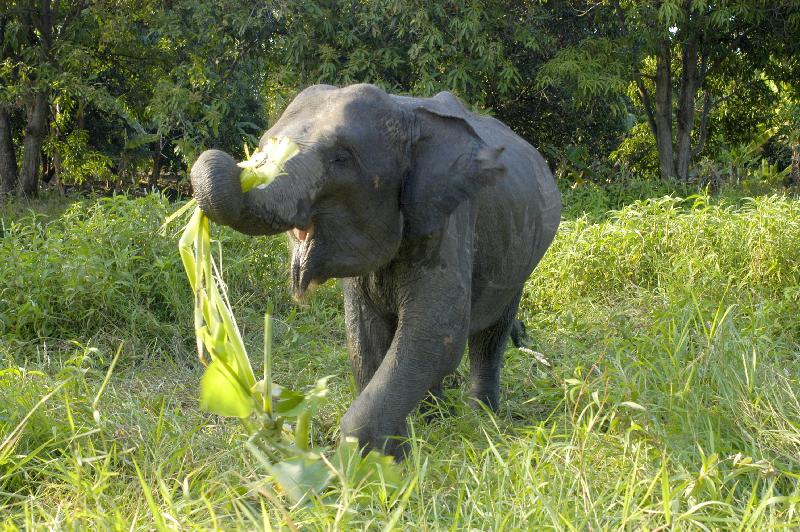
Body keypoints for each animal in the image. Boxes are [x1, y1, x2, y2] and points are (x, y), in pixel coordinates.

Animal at [190, 83, 561, 459]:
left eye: (342, 158)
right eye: (266, 142)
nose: (241, 164)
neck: (406, 115)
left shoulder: (449, 222)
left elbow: (437, 334)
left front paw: (373, 459)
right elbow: (364, 338)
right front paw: (396, 450)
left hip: (520, 261)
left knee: (490, 336)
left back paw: (481, 419)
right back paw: (434, 419)